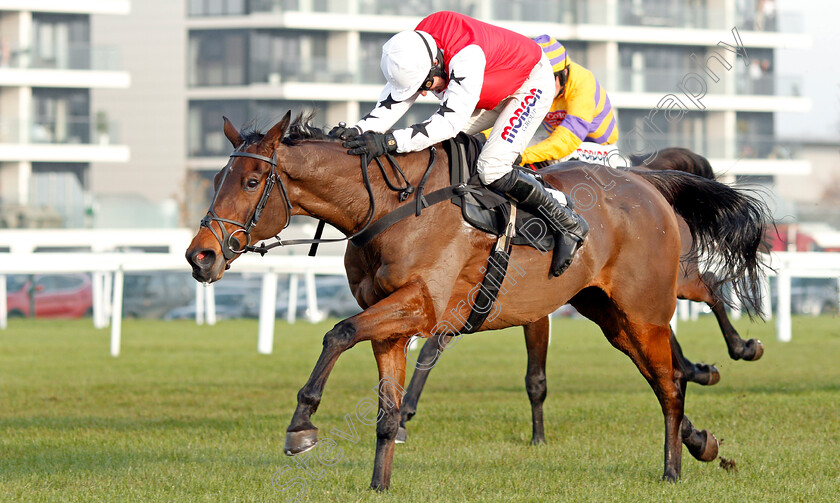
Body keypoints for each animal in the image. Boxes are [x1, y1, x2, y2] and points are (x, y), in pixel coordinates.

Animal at [400, 147, 768, 444]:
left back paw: (743, 347)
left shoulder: (530, 312)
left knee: (710, 287)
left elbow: (534, 377)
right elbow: (433, 346)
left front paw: (538, 437)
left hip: (662, 278)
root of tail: (642, 177)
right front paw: (405, 411)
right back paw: (698, 369)